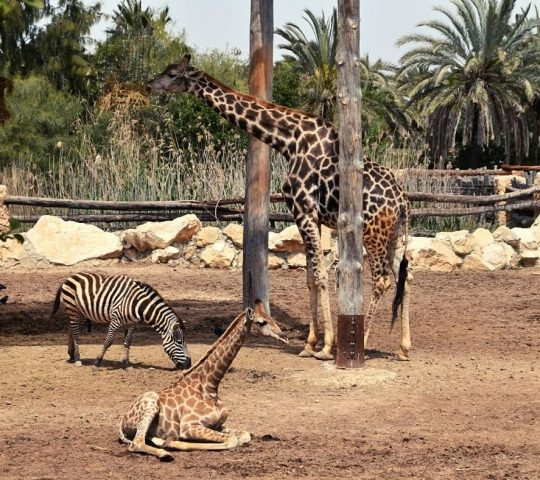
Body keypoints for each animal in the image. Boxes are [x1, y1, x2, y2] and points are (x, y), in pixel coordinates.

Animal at [50, 272, 190, 370]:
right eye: (179, 342)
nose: (189, 364)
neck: (138, 304)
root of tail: (69, 277)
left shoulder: (132, 324)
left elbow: (128, 343)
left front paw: (127, 364)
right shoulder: (115, 320)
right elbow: (109, 341)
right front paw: (97, 363)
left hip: (76, 310)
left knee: (71, 329)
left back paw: (71, 355)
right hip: (72, 307)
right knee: (76, 333)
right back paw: (78, 359)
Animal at [117, 300, 286, 462]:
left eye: (272, 318)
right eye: (261, 322)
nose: (284, 336)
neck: (210, 385)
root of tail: (123, 420)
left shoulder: (218, 425)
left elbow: (245, 435)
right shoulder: (189, 426)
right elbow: (232, 440)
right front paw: (173, 443)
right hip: (151, 401)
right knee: (136, 443)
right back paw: (165, 452)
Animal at [146, 55, 412, 360]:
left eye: (172, 73)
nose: (149, 85)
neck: (289, 142)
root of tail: (402, 201)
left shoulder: (304, 210)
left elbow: (320, 275)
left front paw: (326, 347)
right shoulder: (311, 216)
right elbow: (310, 277)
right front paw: (310, 344)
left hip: (373, 232)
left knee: (382, 279)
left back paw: (362, 345)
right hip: (395, 233)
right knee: (406, 275)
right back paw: (404, 348)